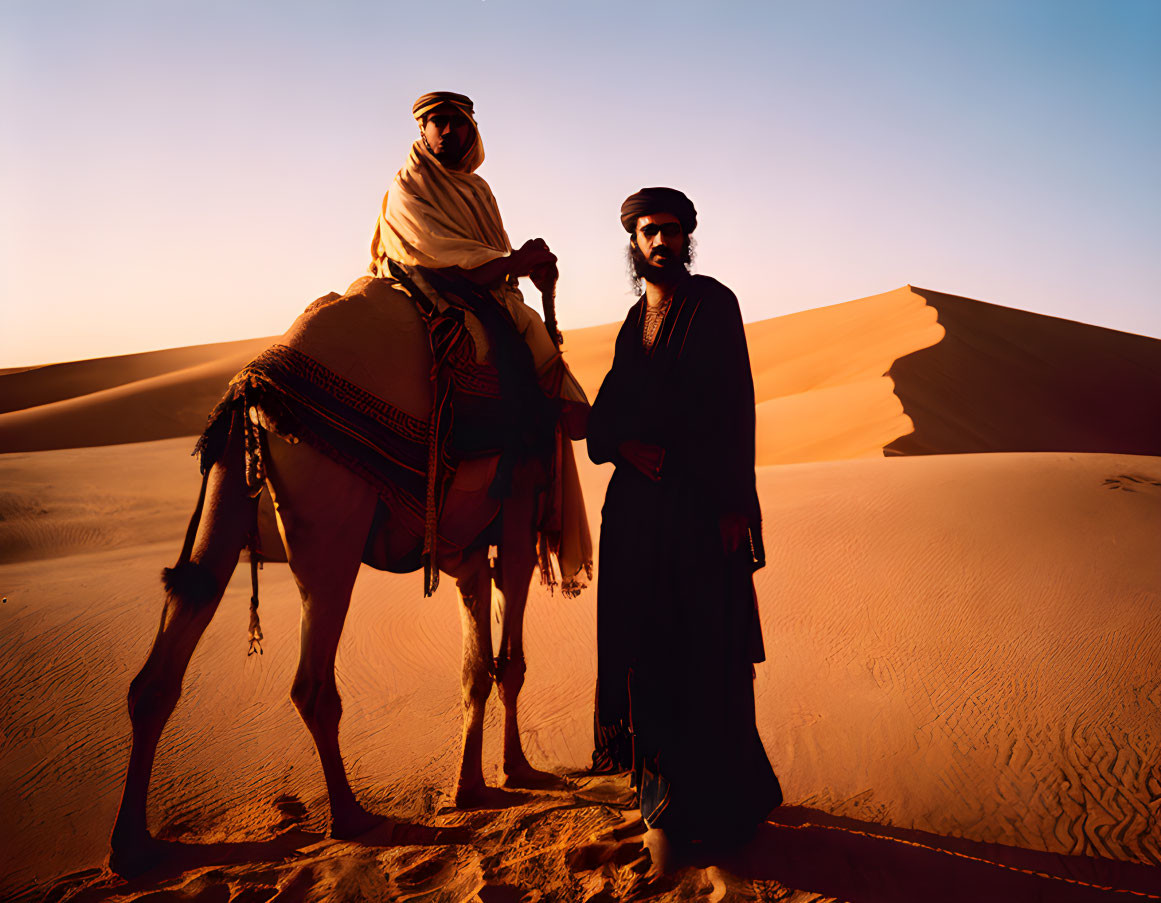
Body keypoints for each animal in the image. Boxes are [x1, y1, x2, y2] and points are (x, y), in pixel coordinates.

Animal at [109, 273, 585, 872]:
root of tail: (252, 390)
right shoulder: (519, 508)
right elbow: (510, 662)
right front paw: (517, 769)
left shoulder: (464, 550)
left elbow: (474, 668)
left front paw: (470, 787)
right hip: (331, 518)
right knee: (311, 682)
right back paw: (352, 818)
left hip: (227, 483)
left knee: (171, 644)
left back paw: (132, 844)